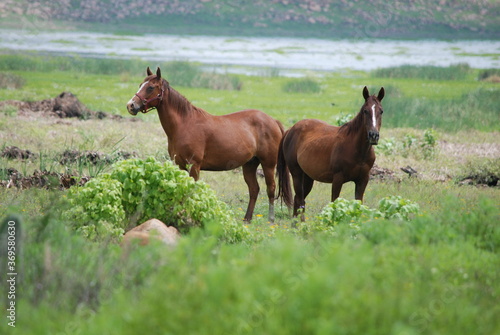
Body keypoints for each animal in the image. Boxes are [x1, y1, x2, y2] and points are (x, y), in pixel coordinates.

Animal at [126, 67, 286, 222]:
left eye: (150, 87)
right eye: (141, 85)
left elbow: (192, 190)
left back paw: (270, 219)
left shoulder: (194, 166)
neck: (184, 124)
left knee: (271, 189)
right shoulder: (181, 165)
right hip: (249, 165)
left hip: (268, 164)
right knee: (254, 189)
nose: (130, 105)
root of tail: (273, 121)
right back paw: (247, 219)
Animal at [276, 86, 384, 220]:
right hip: (297, 174)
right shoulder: (337, 179)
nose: (373, 135)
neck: (357, 150)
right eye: (365, 111)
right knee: (300, 200)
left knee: (298, 200)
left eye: (381, 111)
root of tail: (290, 130)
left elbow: (358, 204)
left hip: (308, 177)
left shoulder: (362, 180)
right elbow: (334, 202)